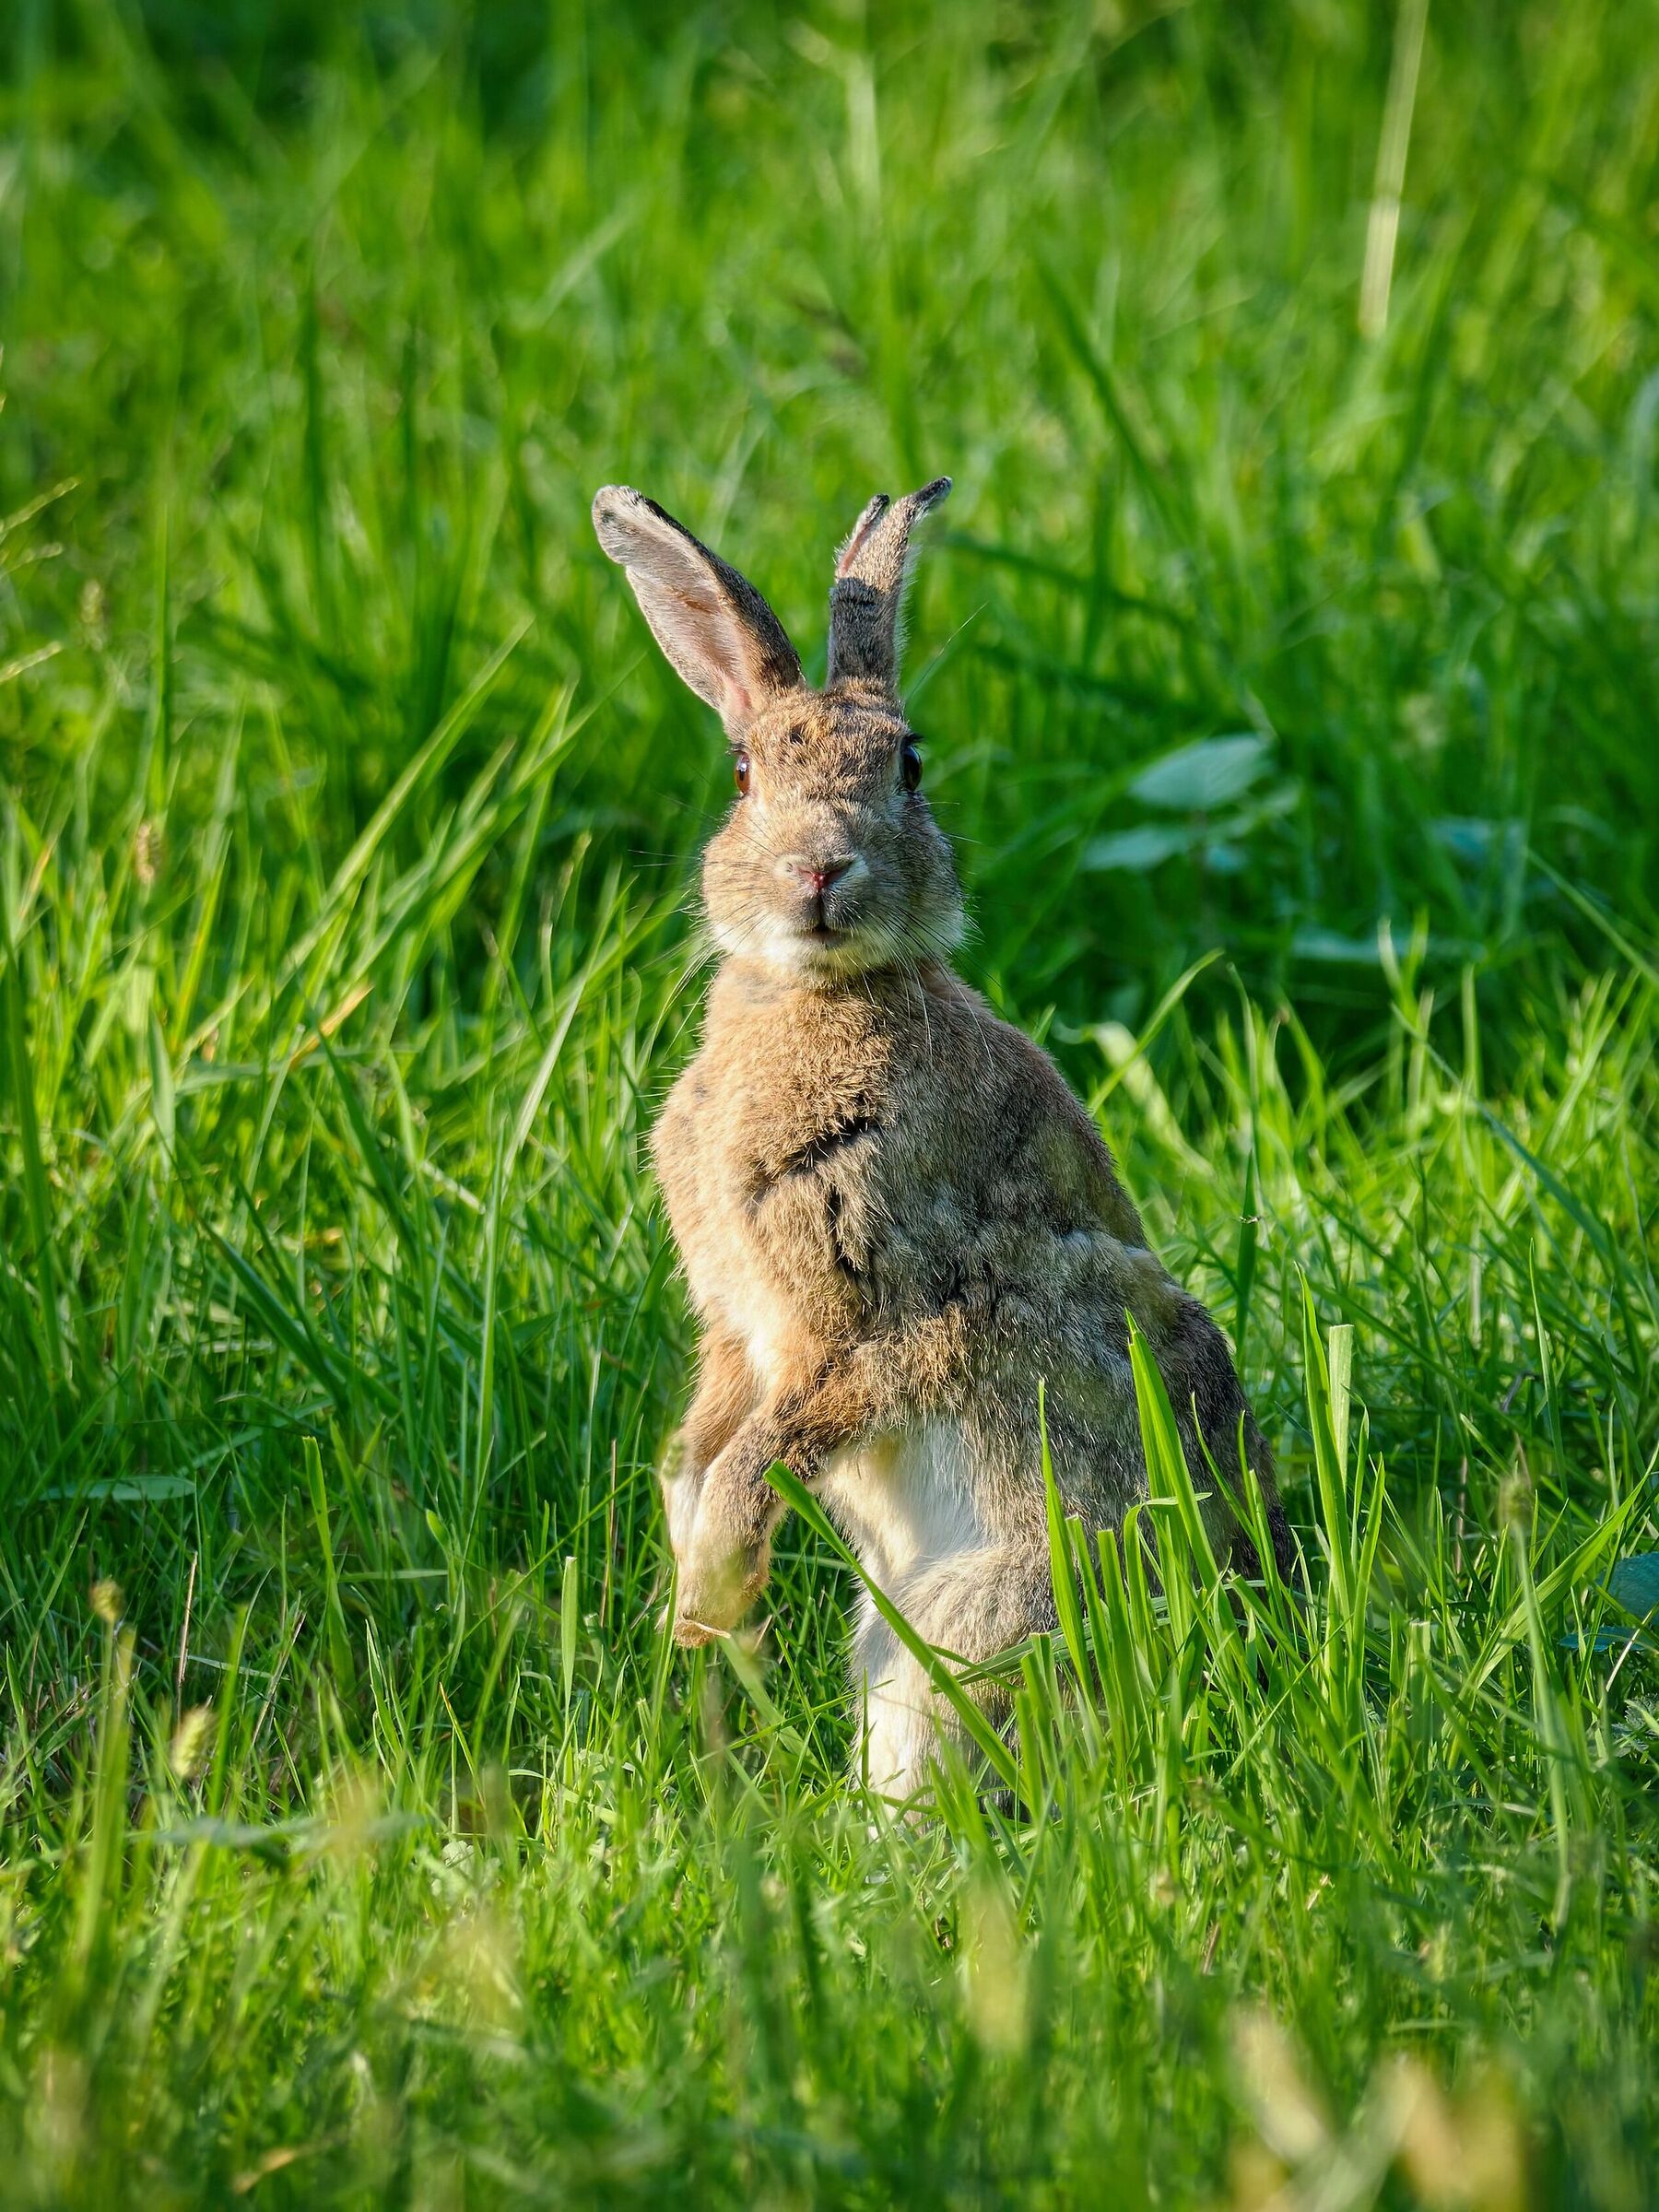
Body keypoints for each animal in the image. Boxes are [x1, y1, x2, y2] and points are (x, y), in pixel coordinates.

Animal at [592, 476, 1294, 1800]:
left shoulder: (881, 1321)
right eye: (745, 773)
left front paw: (710, 1595)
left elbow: (770, 1446)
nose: (821, 871)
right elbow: (704, 1441)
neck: (815, 996)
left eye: (908, 767)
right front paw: (688, 1588)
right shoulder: (740, 1328)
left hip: (987, 1608)